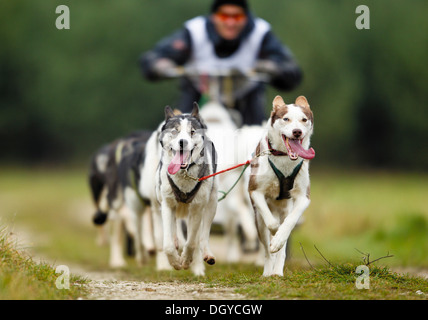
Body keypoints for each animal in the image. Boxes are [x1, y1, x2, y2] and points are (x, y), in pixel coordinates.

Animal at [247, 94, 314, 276]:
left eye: (304, 119)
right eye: (286, 119)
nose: (297, 132)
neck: (284, 157)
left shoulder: (303, 197)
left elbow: (289, 223)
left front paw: (279, 238)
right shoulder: (255, 191)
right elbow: (271, 224)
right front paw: (275, 232)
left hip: (285, 209)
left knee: (282, 247)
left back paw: (277, 271)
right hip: (258, 220)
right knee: (266, 249)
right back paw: (268, 272)